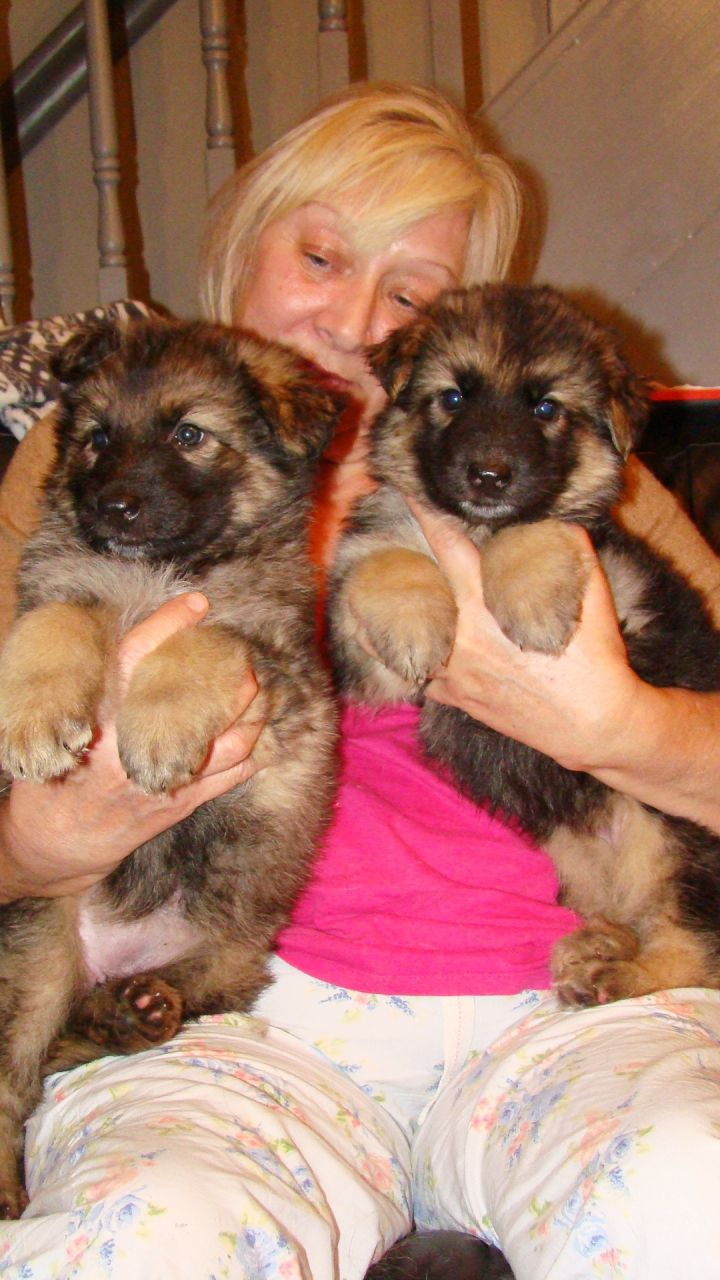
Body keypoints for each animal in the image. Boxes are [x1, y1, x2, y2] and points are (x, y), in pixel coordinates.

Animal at [0, 314, 340, 1213]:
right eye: (96, 439)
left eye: (190, 435)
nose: (113, 504)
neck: (153, 574)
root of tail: (113, 959)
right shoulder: (66, 585)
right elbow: (53, 623)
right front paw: (31, 716)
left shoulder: (280, 671)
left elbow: (208, 636)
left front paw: (157, 733)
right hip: (38, 954)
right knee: (16, 1075)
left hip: (230, 951)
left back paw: (137, 1008)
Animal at [327, 280, 717, 1008]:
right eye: (452, 397)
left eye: (546, 408)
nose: (489, 476)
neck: (473, 533)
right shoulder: (374, 663)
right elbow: (379, 561)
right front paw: (415, 623)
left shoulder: (621, 589)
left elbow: (541, 527)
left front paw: (532, 600)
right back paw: (603, 946)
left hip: (677, 836)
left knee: (696, 948)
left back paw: (620, 973)